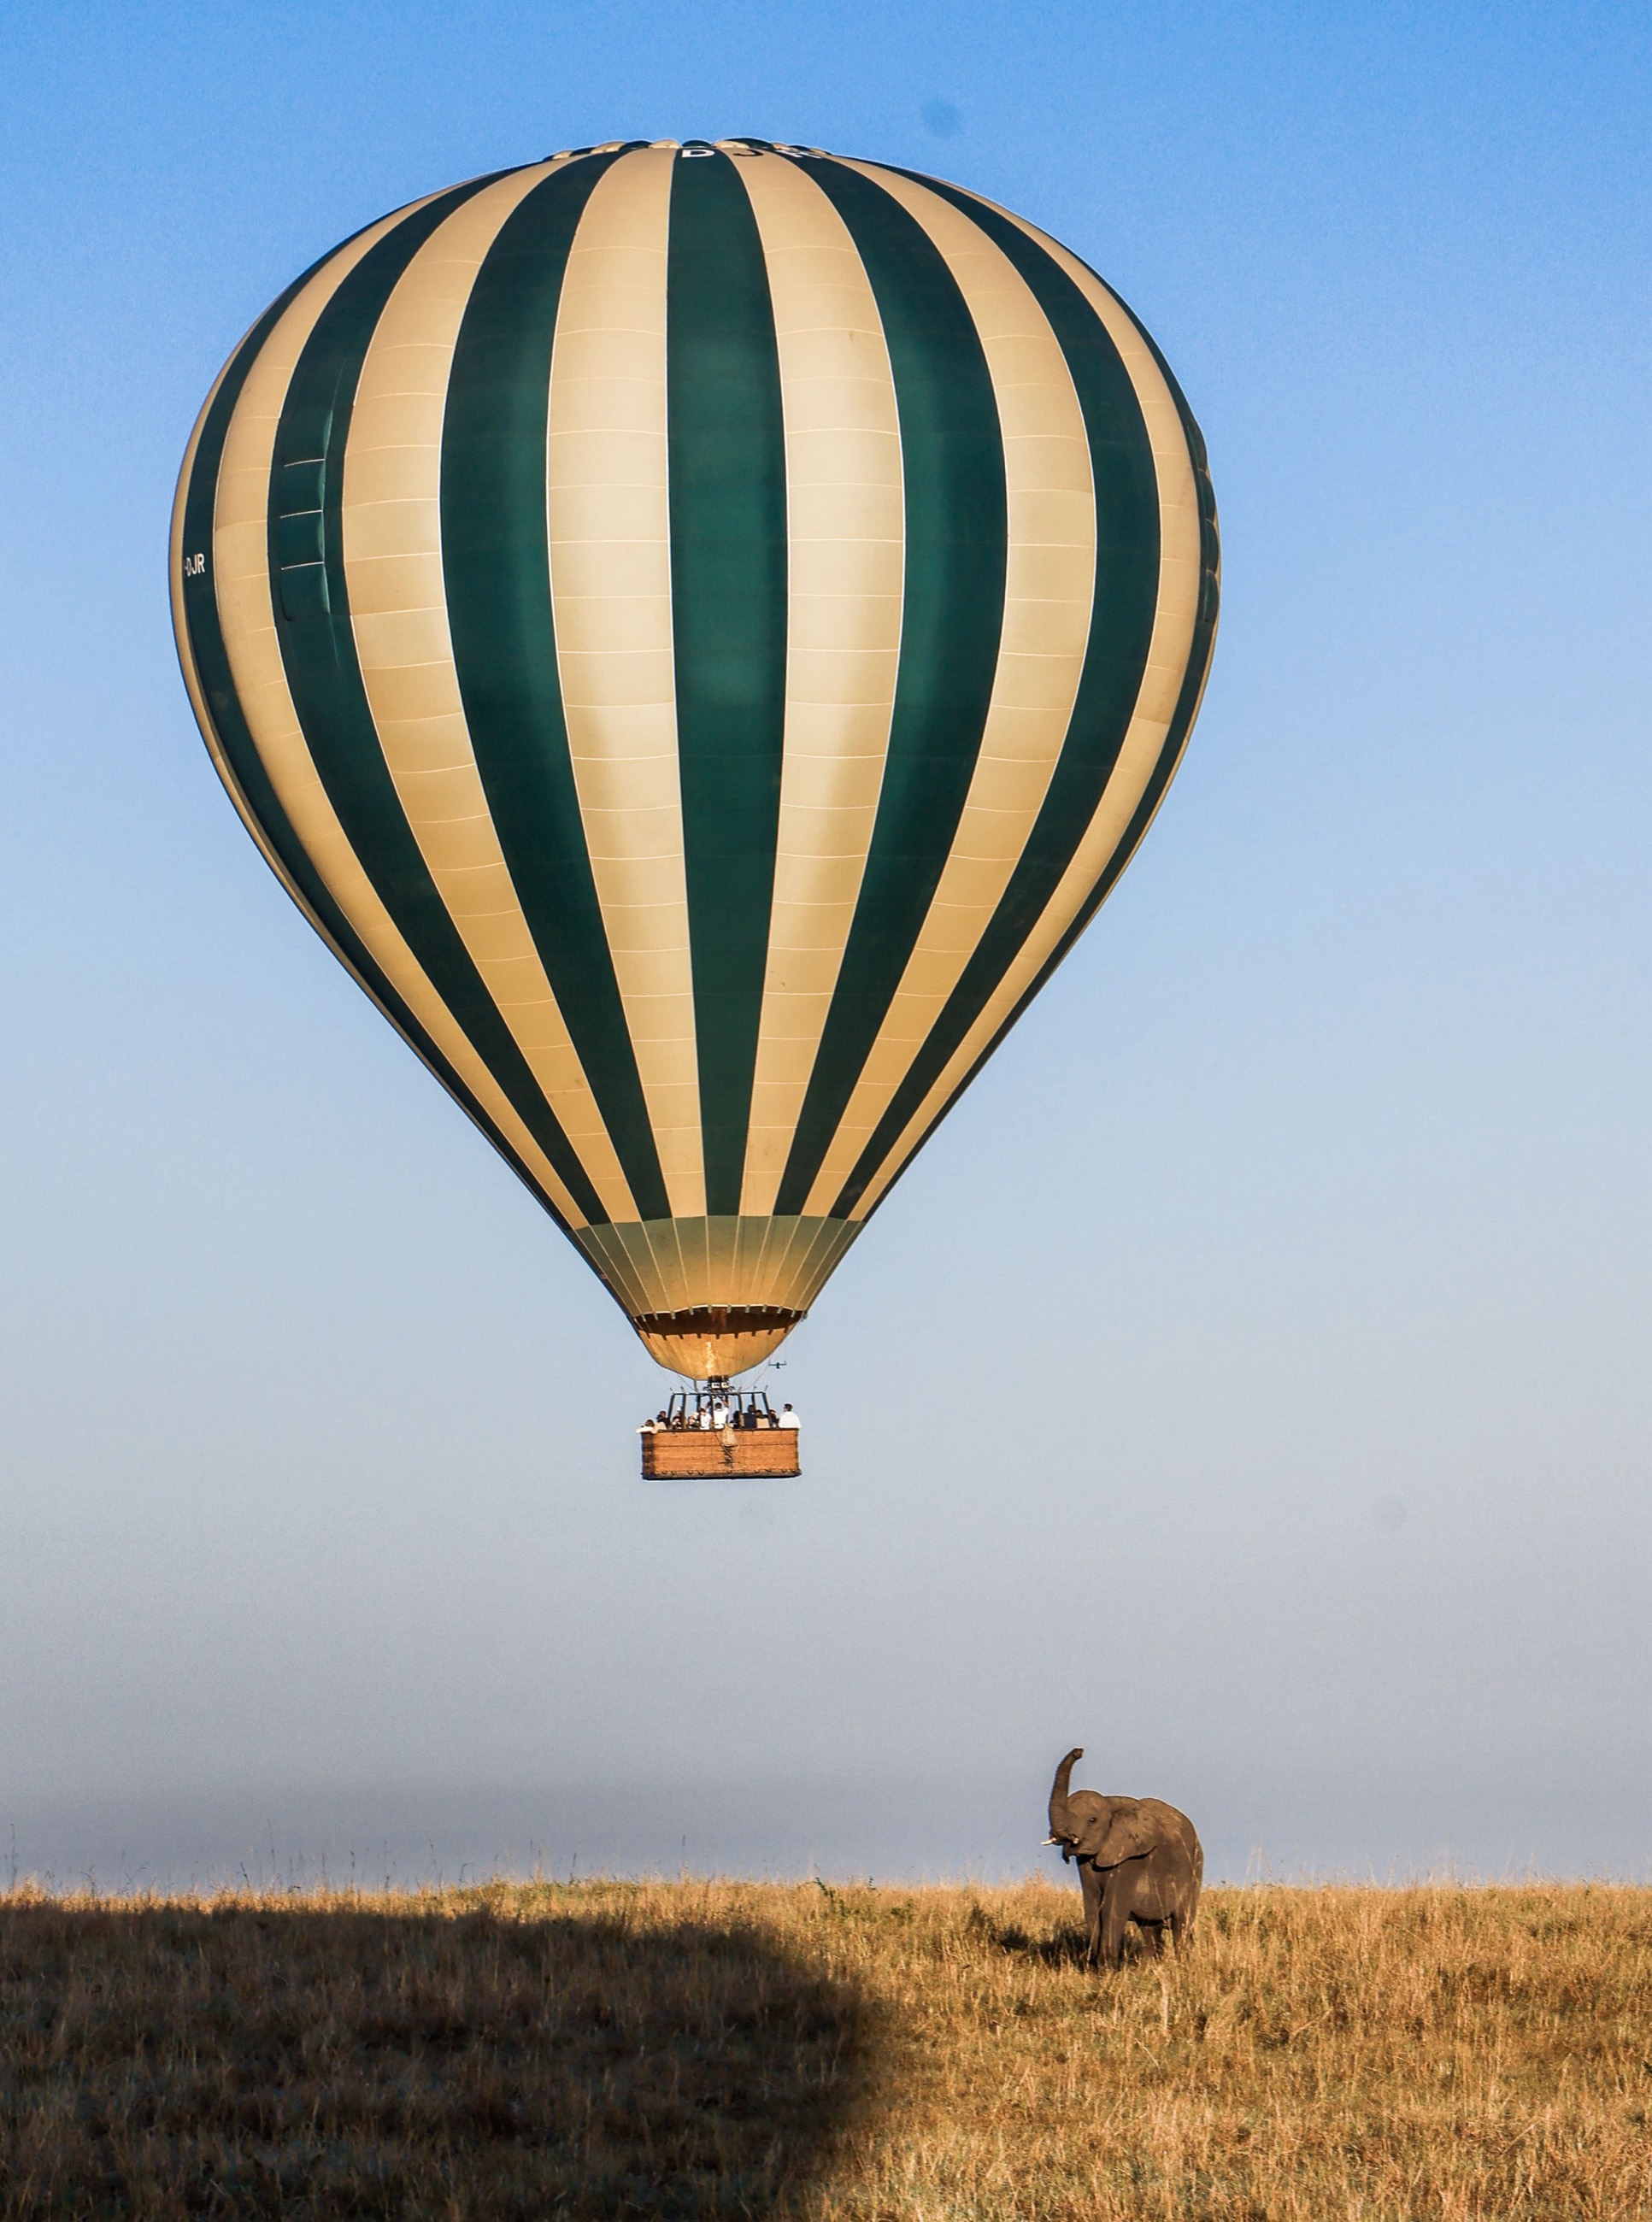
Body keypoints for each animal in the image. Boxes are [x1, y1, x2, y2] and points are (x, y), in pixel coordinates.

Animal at [1045, 1746, 1203, 1967]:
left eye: (1092, 1820)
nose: (1079, 1751)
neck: (1110, 1802)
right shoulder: (1085, 1863)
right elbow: (1092, 1909)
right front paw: (1095, 1967)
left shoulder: (1131, 1860)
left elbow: (1111, 1910)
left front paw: (1107, 1968)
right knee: (1150, 1928)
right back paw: (1150, 1967)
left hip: (1195, 1868)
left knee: (1181, 1923)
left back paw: (1181, 1965)